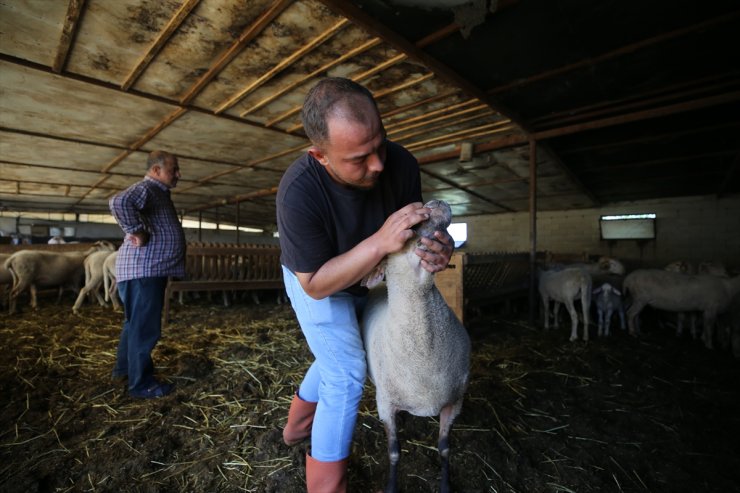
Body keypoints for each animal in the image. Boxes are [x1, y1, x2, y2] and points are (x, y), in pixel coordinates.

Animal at [362, 199, 472, 492]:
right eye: (408, 225)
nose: (434, 202)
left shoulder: (454, 401)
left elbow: (444, 448)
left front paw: (445, 485)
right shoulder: (386, 404)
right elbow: (393, 452)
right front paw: (391, 486)